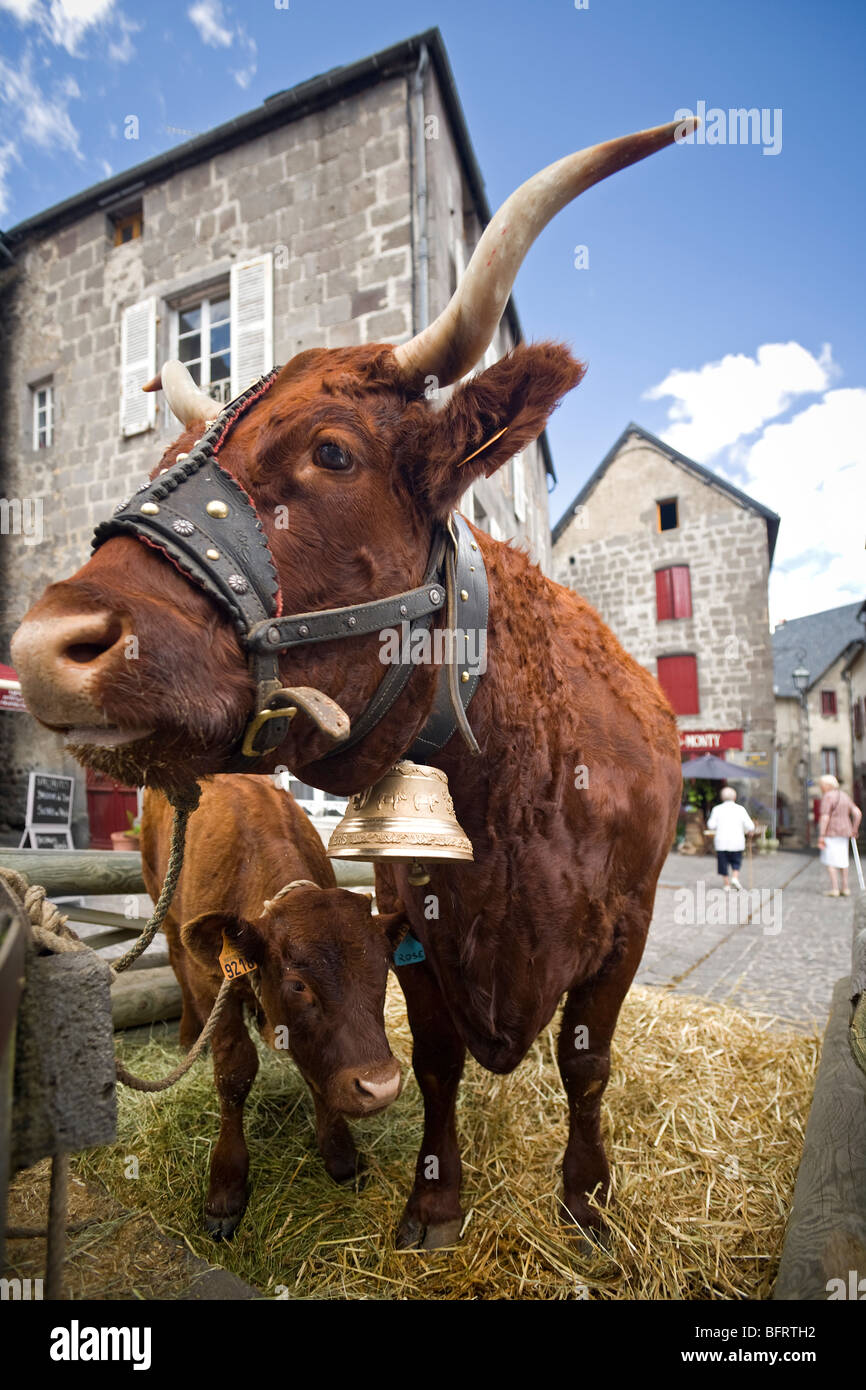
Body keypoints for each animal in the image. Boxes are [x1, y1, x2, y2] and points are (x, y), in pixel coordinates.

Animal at [142, 772, 408, 1239]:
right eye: (298, 985)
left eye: (385, 972)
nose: (381, 1086)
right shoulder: (212, 983)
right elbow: (234, 1073)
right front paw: (226, 1186)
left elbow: (315, 1067)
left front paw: (341, 1155)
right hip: (167, 913)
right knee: (175, 961)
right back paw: (189, 1036)